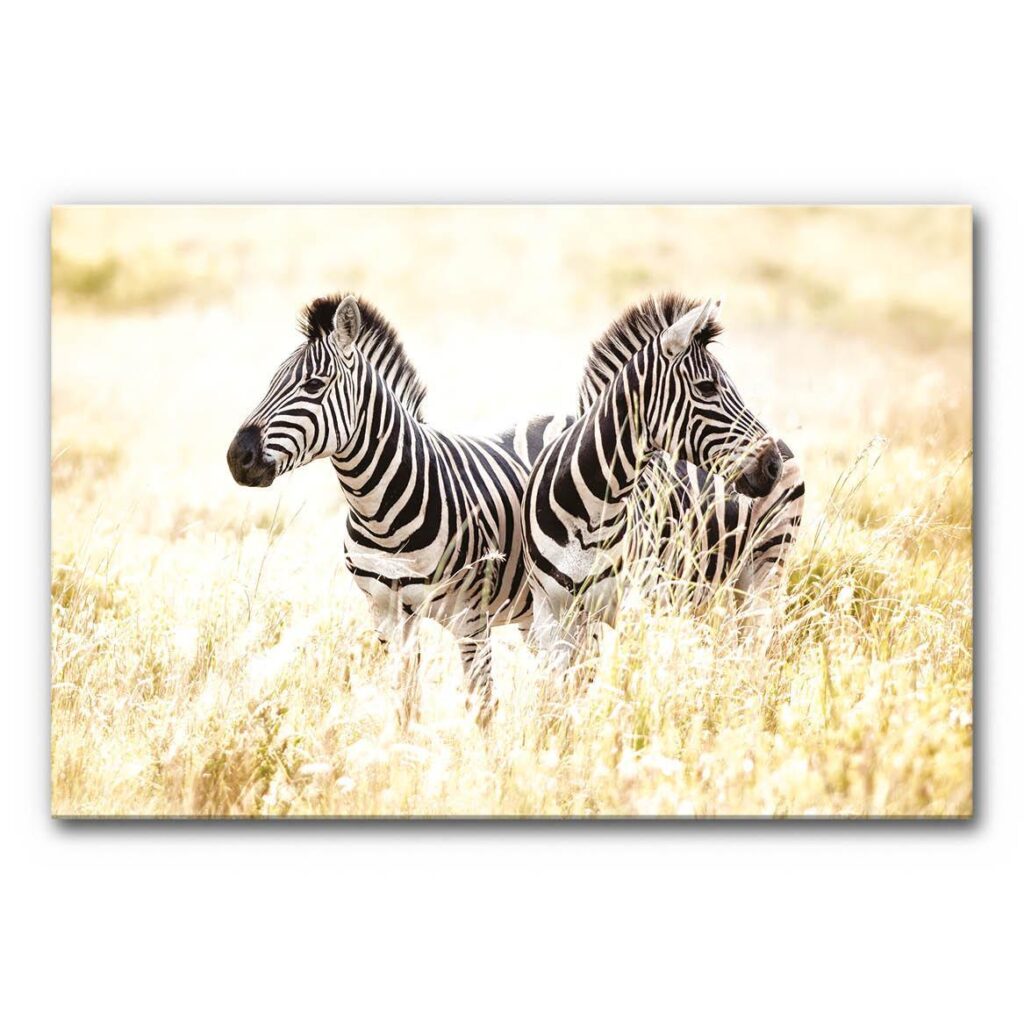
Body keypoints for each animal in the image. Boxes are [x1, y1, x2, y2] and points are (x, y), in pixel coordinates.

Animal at [226, 294, 565, 725]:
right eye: (270, 384)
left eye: (313, 385)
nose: (238, 458)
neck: (380, 514)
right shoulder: (387, 615)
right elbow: (406, 704)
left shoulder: (470, 618)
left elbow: (483, 707)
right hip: (534, 609)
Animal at [521, 293, 784, 667]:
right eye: (707, 387)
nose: (773, 465)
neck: (588, 513)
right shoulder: (548, 608)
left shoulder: (620, 605)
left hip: (763, 570)